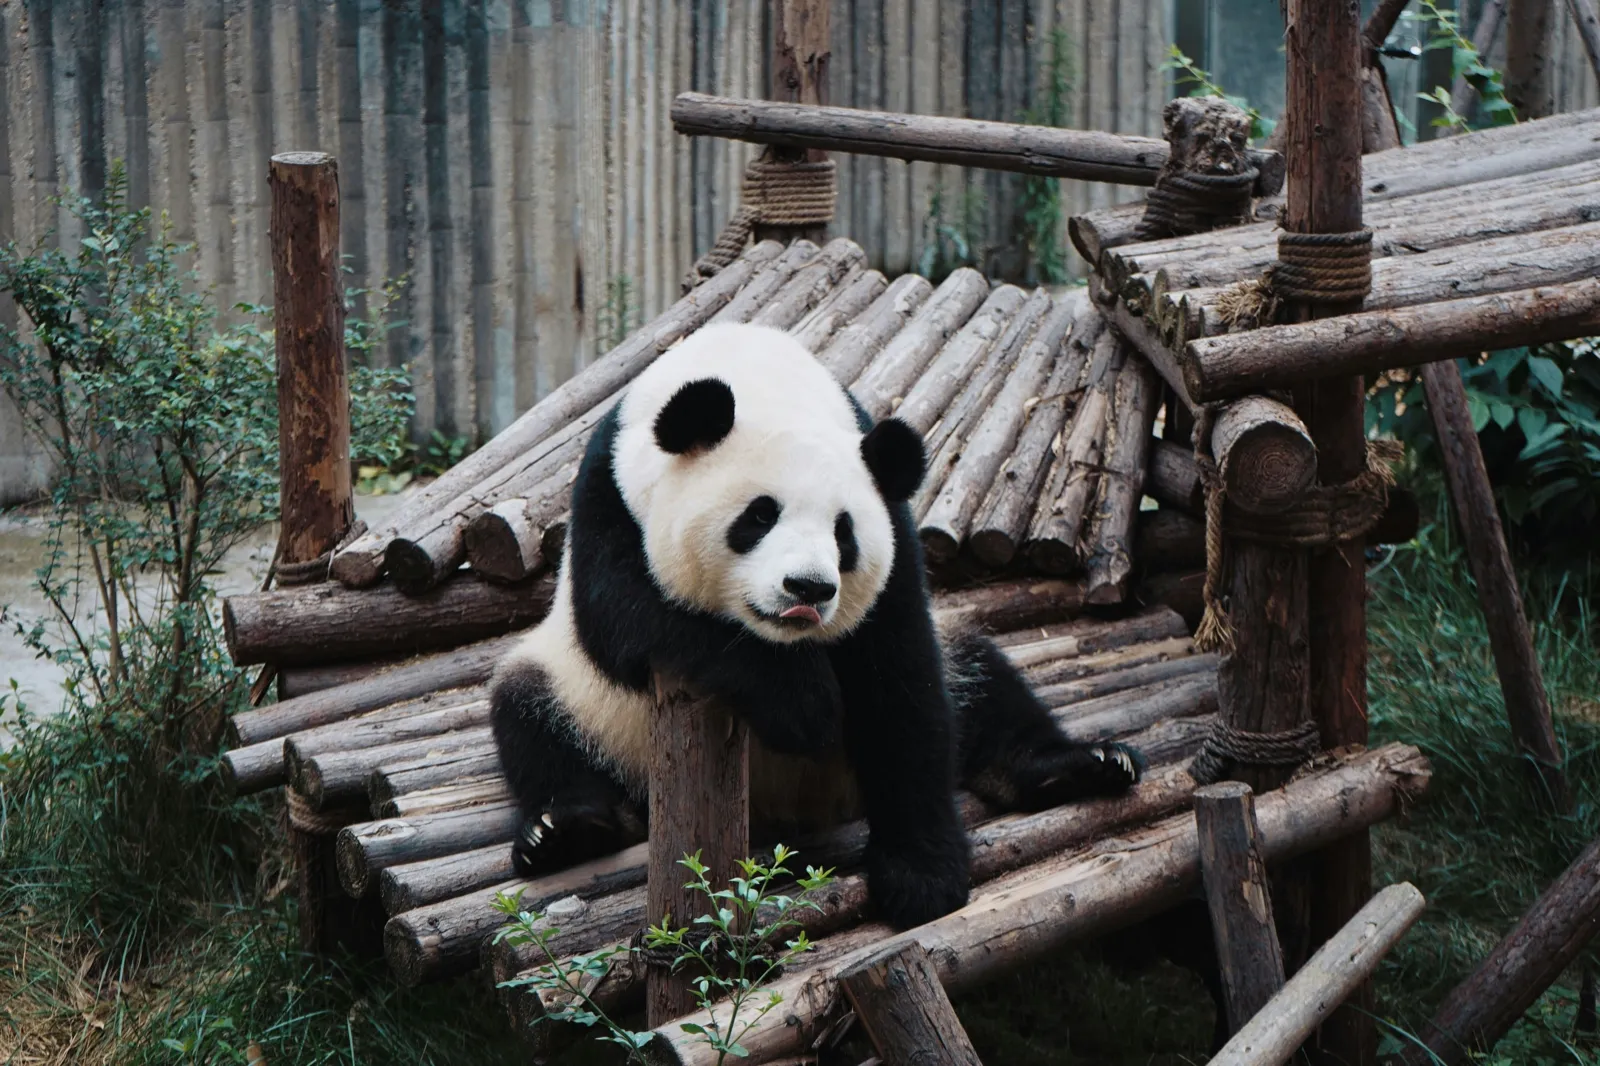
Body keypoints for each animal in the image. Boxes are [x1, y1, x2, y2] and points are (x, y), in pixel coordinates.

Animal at [489, 321, 1142, 930]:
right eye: (759, 516)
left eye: (843, 532)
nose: (808, 588)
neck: (753, 370)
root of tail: (792, 811)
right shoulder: (609, 496)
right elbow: (632, 620)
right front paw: (802, 703)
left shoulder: (895, 533)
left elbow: (902, 681)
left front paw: (922, 875)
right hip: (589, 703)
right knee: (529, 714)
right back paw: (565, 830)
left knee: (982, 682)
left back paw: (1078, 766)